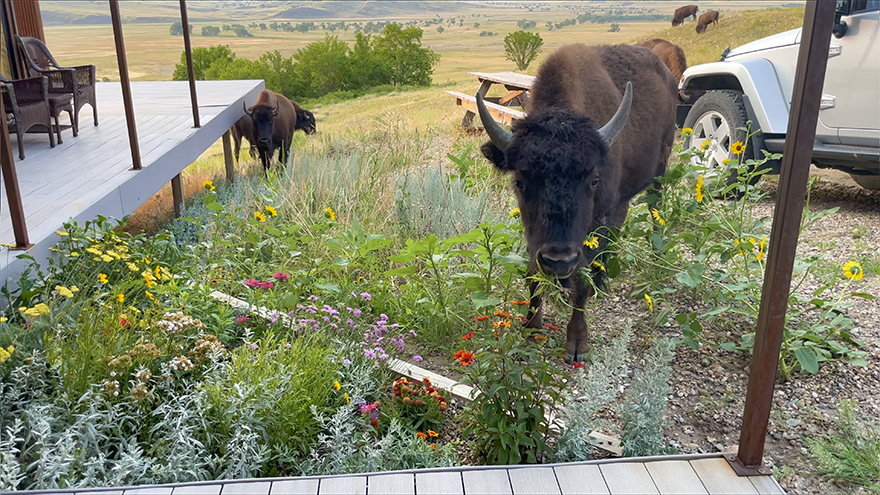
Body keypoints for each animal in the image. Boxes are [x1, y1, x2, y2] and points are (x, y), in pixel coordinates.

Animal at [478, 44, 676, 362]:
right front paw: (532, 332)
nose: (559, 261)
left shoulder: (591, 225)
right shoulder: (536, 237)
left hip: (660, 167)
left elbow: (581, 280)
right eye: (520, 181)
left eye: (593, 180)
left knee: (653, 207)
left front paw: (577, 344)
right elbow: (533, 275)